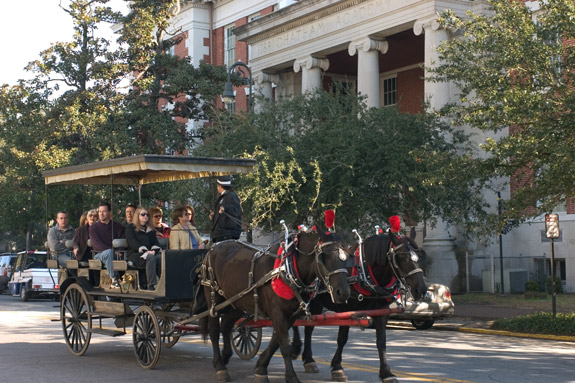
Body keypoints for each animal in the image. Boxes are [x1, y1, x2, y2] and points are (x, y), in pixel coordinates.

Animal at [201, 230, 352, 382]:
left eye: (347, 257)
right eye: (324, 256)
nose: (343, 293)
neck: (288, 268)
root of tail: (213, 247)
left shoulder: (290, 316)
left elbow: (275, 343)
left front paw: (261, 368)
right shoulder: (278, 313)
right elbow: (284, 346)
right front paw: (291, 377)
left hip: (236, 302)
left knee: (226, 324)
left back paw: (225, 356)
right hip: (213, 300)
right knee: (214, 330)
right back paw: (220, 366)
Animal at [292, 231, 428, 383]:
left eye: (420, 257)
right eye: (402, 257)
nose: (421, 290)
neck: (364, 272)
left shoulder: (382, 312)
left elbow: (381, 342)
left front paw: (387, 373)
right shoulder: (346, 310)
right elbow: (342, 338)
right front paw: (337, 367)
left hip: (316, 303)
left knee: (308, 328)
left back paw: (309, 360)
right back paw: (298, 350)